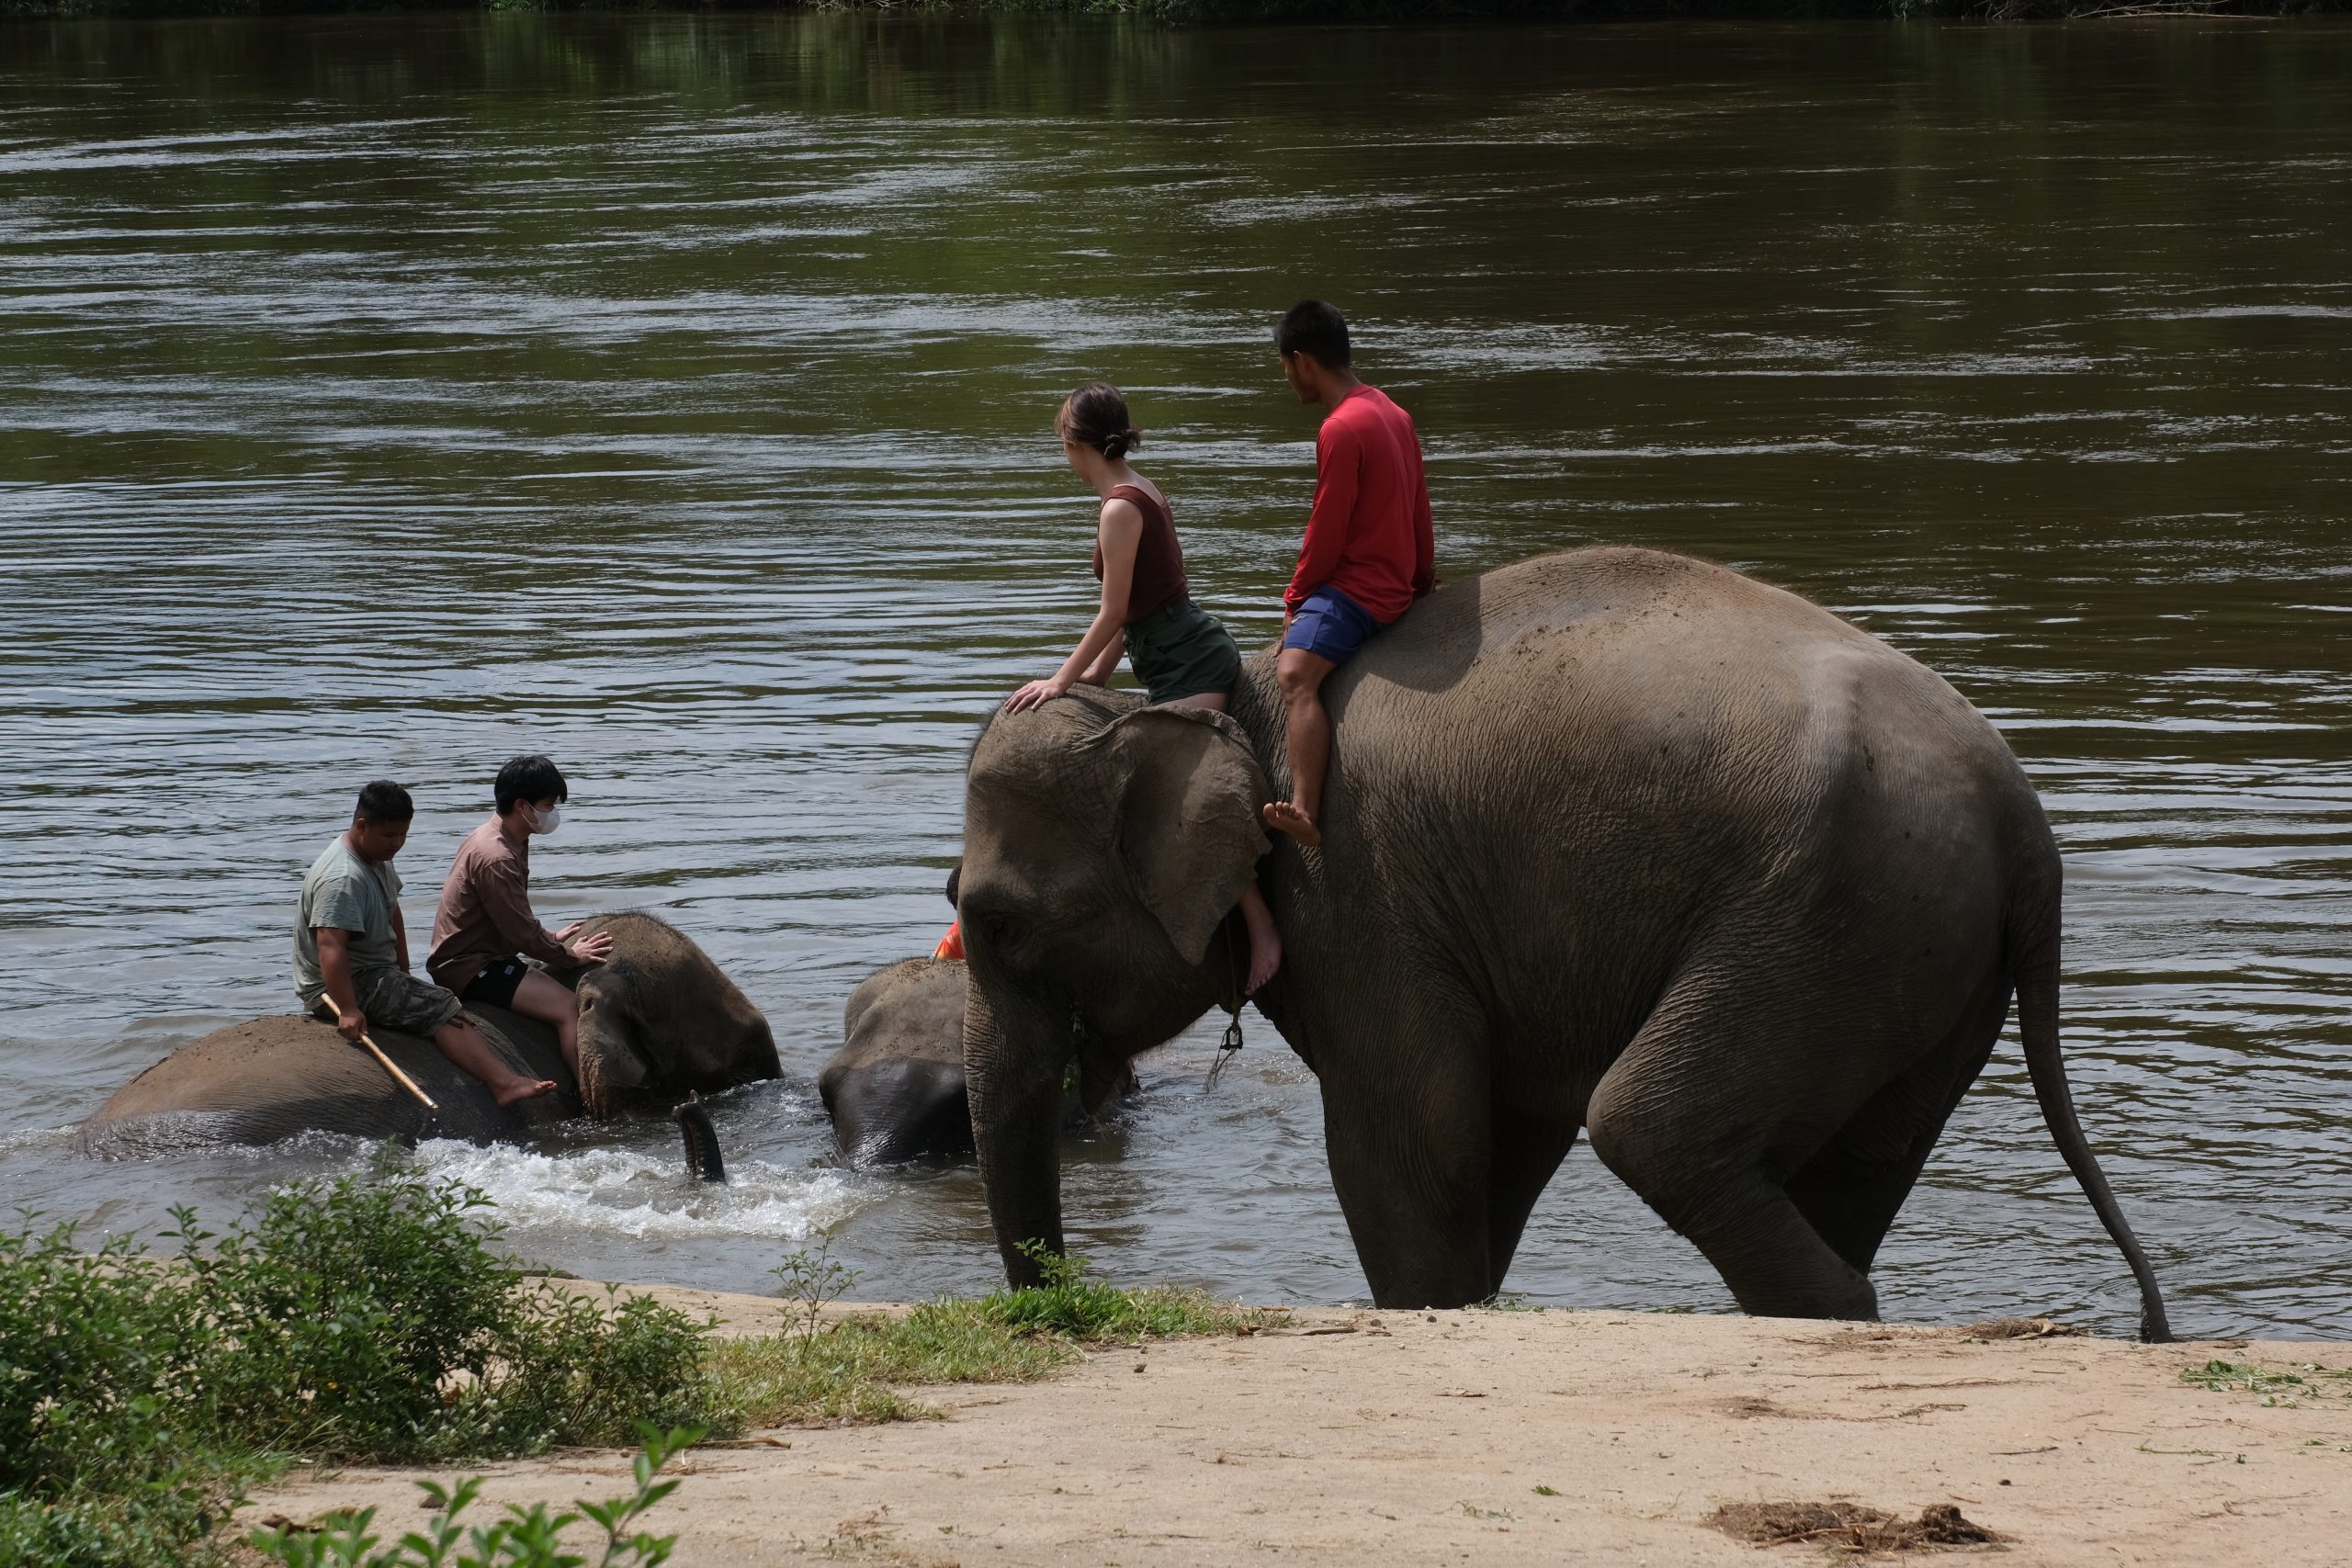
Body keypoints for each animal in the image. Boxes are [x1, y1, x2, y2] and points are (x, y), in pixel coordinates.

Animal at [950, 549, 2164, 1335]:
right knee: (1853, 1166)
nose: (1067, 1306)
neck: (1224, 704)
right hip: (1926, 966)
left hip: (1832, 920)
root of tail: (2023, 822)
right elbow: (1502, 1139)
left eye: (995, 919)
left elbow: (1418, 1144)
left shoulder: (1358, 902)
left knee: (1652, 1128)